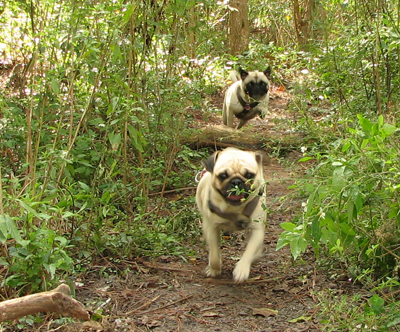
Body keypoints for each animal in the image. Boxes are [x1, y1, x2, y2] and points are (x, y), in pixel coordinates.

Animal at [196, 148, 268, 282]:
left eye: (249, 175)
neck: (235, 208)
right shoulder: (212, 228)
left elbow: (249, 250)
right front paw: (214, 269)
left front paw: (242, 268)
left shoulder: (257, 229)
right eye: (223, 176)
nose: (236, 181)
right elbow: (214, 254)